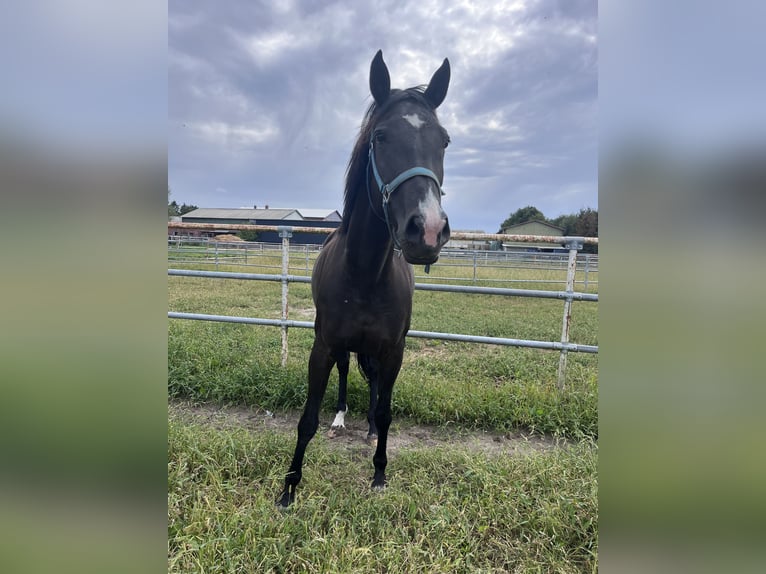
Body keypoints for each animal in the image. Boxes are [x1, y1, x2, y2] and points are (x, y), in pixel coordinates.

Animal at [280, 49, 452, 508]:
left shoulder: (394, 351)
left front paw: (378, 474)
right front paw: (289, 487)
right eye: (380, 137)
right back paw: (341, 418)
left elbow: (387, 411)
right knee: (345, 375)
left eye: (444, 141)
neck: (365, 273)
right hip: (342, 348)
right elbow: (307, 418)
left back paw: (370, 429)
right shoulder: (323, 347)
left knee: (373, 388)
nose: (428, 230)